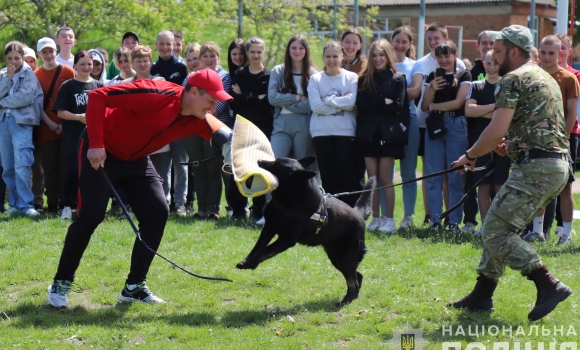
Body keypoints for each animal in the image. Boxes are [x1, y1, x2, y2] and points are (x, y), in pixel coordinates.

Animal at [237, 156, 376, 306]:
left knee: (353, 282)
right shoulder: (269, 228)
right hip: (337, 258)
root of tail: (359, 215)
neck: (291, 197)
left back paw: (345, 302)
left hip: (345, 257)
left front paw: (251, 263)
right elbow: (257, 247)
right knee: (358, 275)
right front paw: (246, 261)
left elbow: (265, 250)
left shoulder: (286, 240)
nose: (259, 160)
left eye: (277, 165)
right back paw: (351, 298)